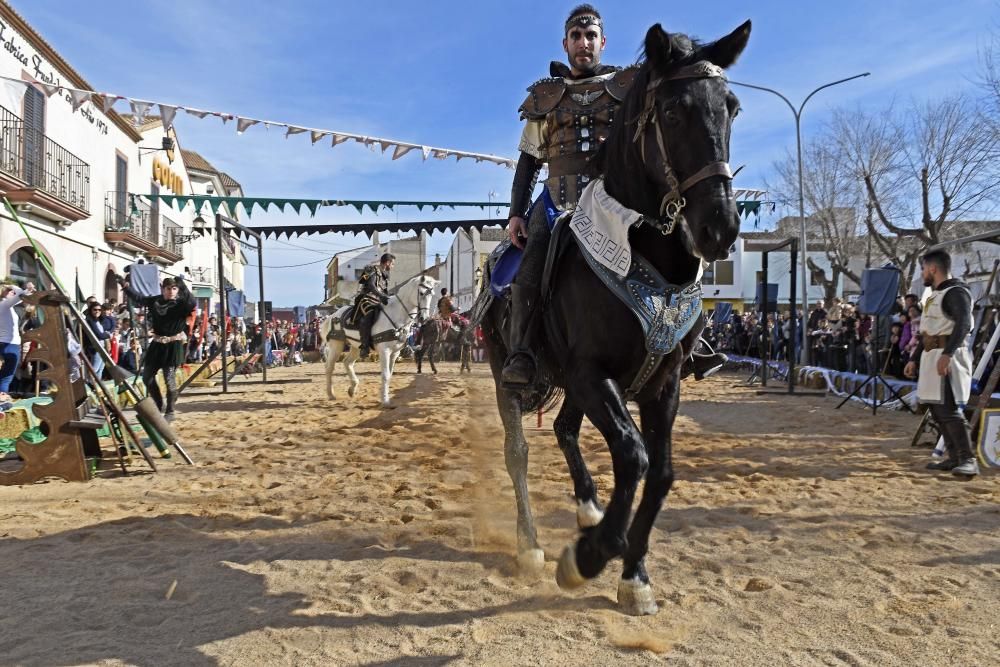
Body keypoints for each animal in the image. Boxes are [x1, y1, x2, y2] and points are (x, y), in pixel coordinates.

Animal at [322, 272, 436, 408]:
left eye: (432, 294)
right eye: (422, 293)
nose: (424, 318)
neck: (396, 314)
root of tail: (333, 316)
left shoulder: (395, 353)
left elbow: (389, 375)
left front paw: (384, 398)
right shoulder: (385, 351)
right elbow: (385, 375)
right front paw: (385, 400)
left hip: (356, 347)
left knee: (347, 362)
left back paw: (352, 389)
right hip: (336, 345)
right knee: (329, 367)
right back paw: (330, 394)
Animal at [478, 20, 752, 616]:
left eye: (731, 107)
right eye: (671, 111)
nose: (719, 227)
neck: (644, 251)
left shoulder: (662, 383)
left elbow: (660, 473)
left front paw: (635, 575)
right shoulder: (590, 374)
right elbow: (633, 456)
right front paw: (586, 558)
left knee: (563, 429)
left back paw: (589, 509)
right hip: (507, 372)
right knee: (518, 453)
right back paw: (532, 546)